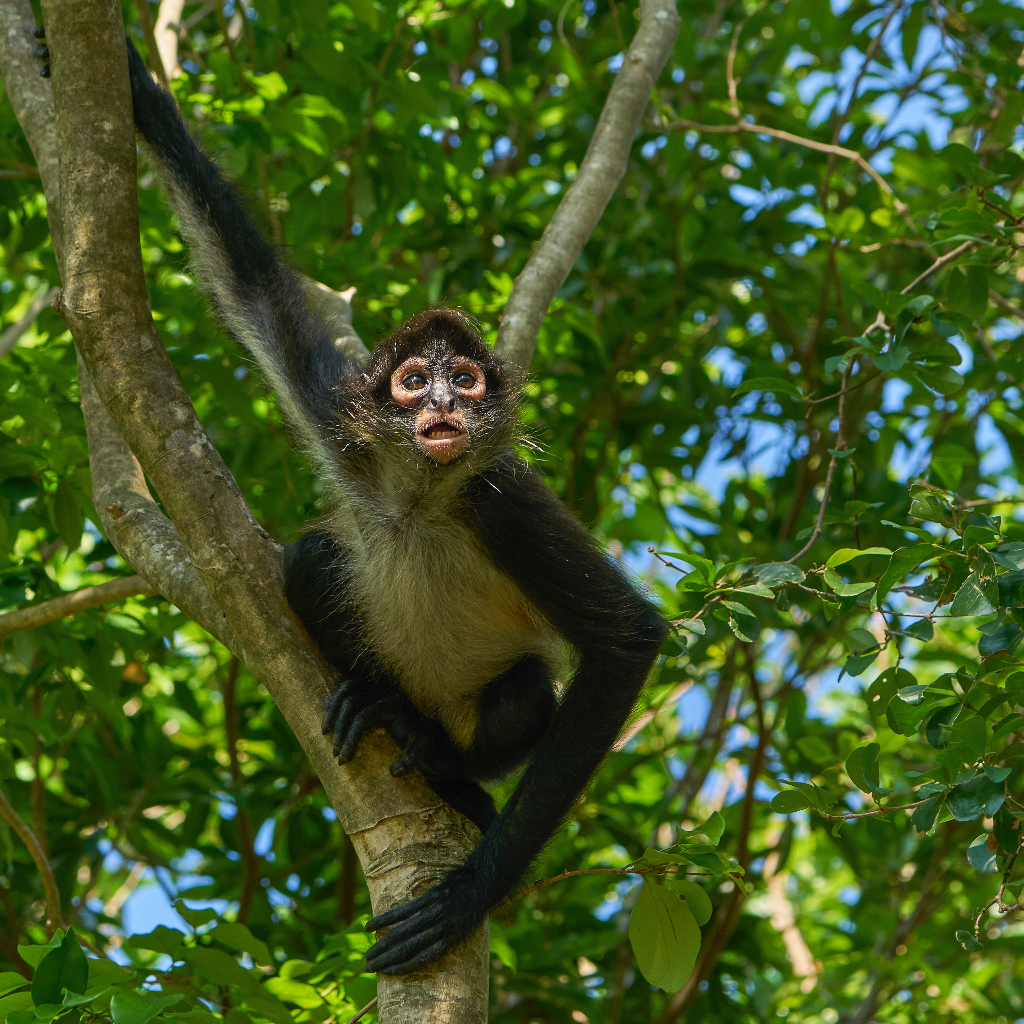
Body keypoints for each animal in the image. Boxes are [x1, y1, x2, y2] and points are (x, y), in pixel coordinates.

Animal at [114, 36, 663, 970]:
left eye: (466, 380)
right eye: (413, 383)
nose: (444, 402)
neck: (418, 496)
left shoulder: (502, 498)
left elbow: (628, 639)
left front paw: (470, 895)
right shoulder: (349, 431)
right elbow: (251, 287)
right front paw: (133, 85)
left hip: (486, 713)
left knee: (524, 693)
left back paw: (447, 770)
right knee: (312, 557)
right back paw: (385, 708)